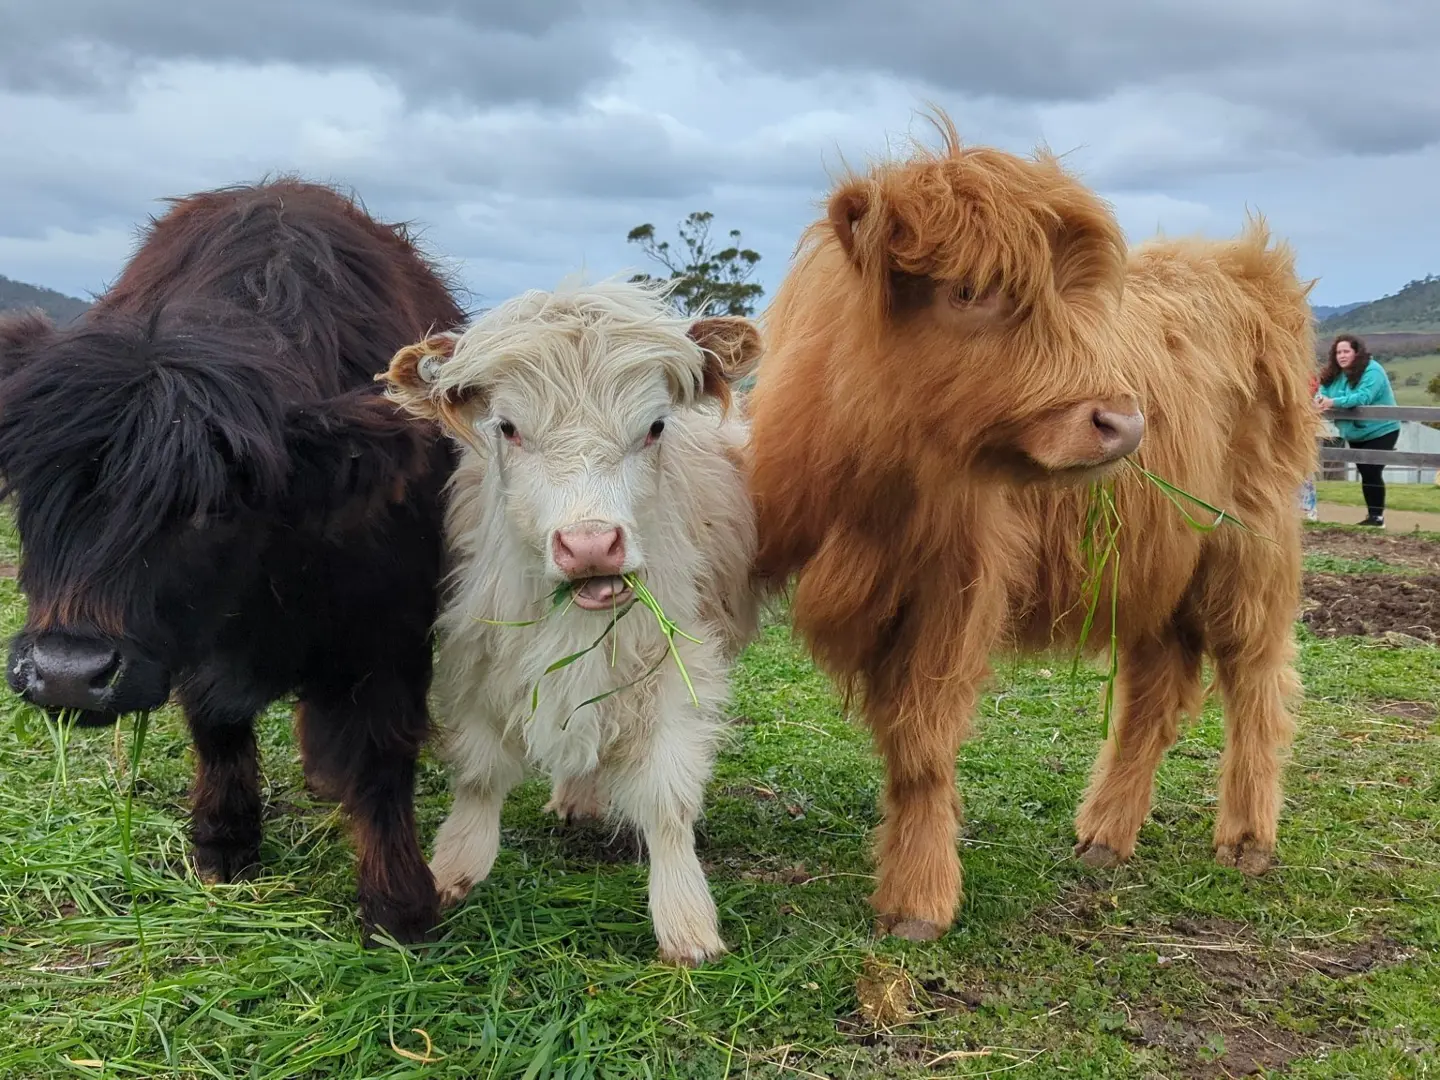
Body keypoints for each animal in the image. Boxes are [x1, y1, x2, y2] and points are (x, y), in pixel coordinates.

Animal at [0, 179, 466, 945]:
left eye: (208, 509)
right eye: (33, 488)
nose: (68, 675)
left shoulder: (390, 634)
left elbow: (380, 761)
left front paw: (399, 907)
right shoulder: (195, 648)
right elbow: (216, 729)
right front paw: (224, 842)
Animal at [379, 277, 763, 965]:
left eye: (655, 426)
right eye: (507, 427)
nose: (590, 546)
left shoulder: (675, 671)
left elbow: (668, 800)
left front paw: (686, 923)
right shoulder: (476, 657)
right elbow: (479, 774)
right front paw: (453, 871)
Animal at [744, 112, 1322, 943]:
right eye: (966, 290)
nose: (1123, 423)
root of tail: (1239, 265)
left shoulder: (955, 591)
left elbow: (921, 745)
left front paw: (917, 900)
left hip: (1247, 548)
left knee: (1257, 680)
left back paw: (1246, 839)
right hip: (1154, 566)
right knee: (1155, 693)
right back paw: (1106, 834)